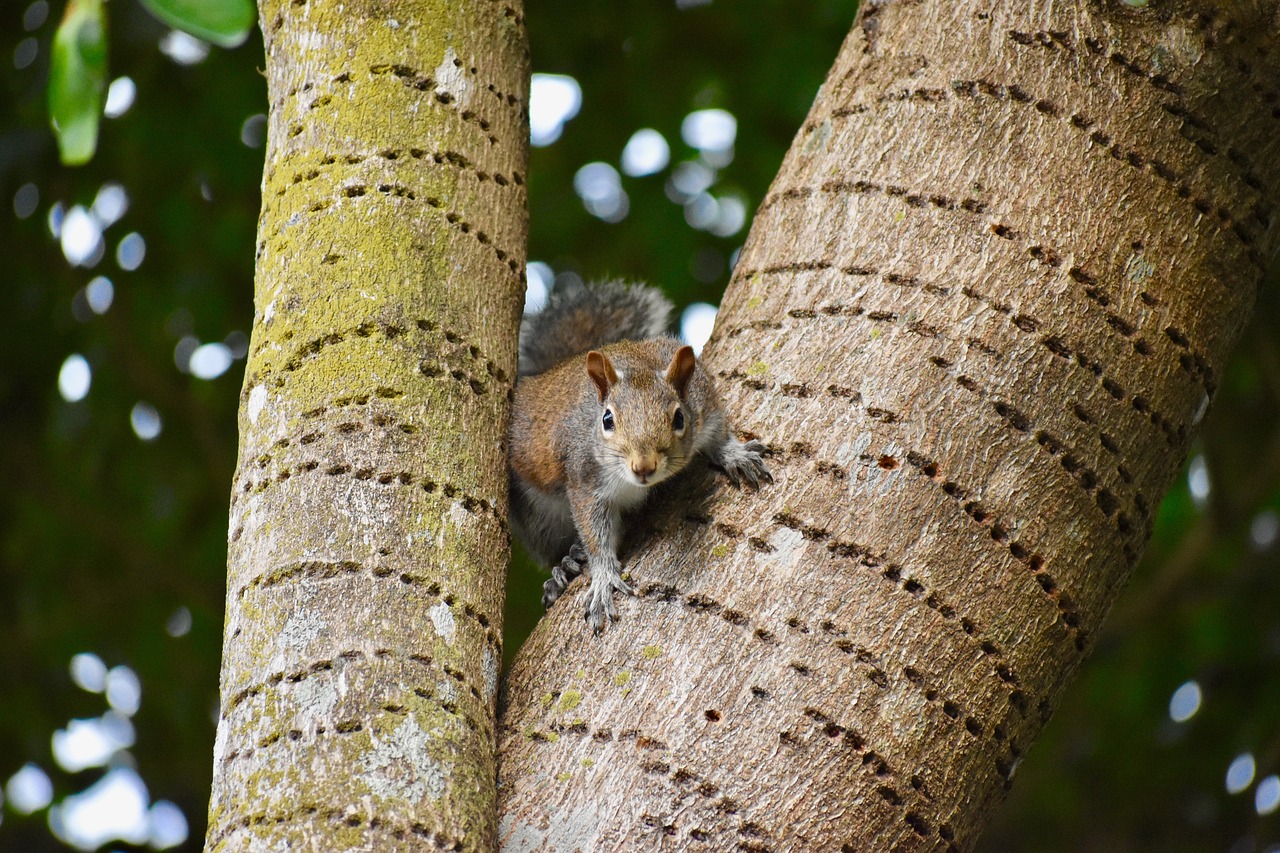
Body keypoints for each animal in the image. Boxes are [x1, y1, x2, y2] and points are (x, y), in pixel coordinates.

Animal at [506, 280, 768, 630]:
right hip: (535, 517)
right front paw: (603, 579)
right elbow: (595, 534)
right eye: (607, 420)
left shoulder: (703, 400)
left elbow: (718, 432)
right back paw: (564, 566)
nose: (643, 466)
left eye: (679, 418)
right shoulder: (584, 478)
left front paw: (734, 454)